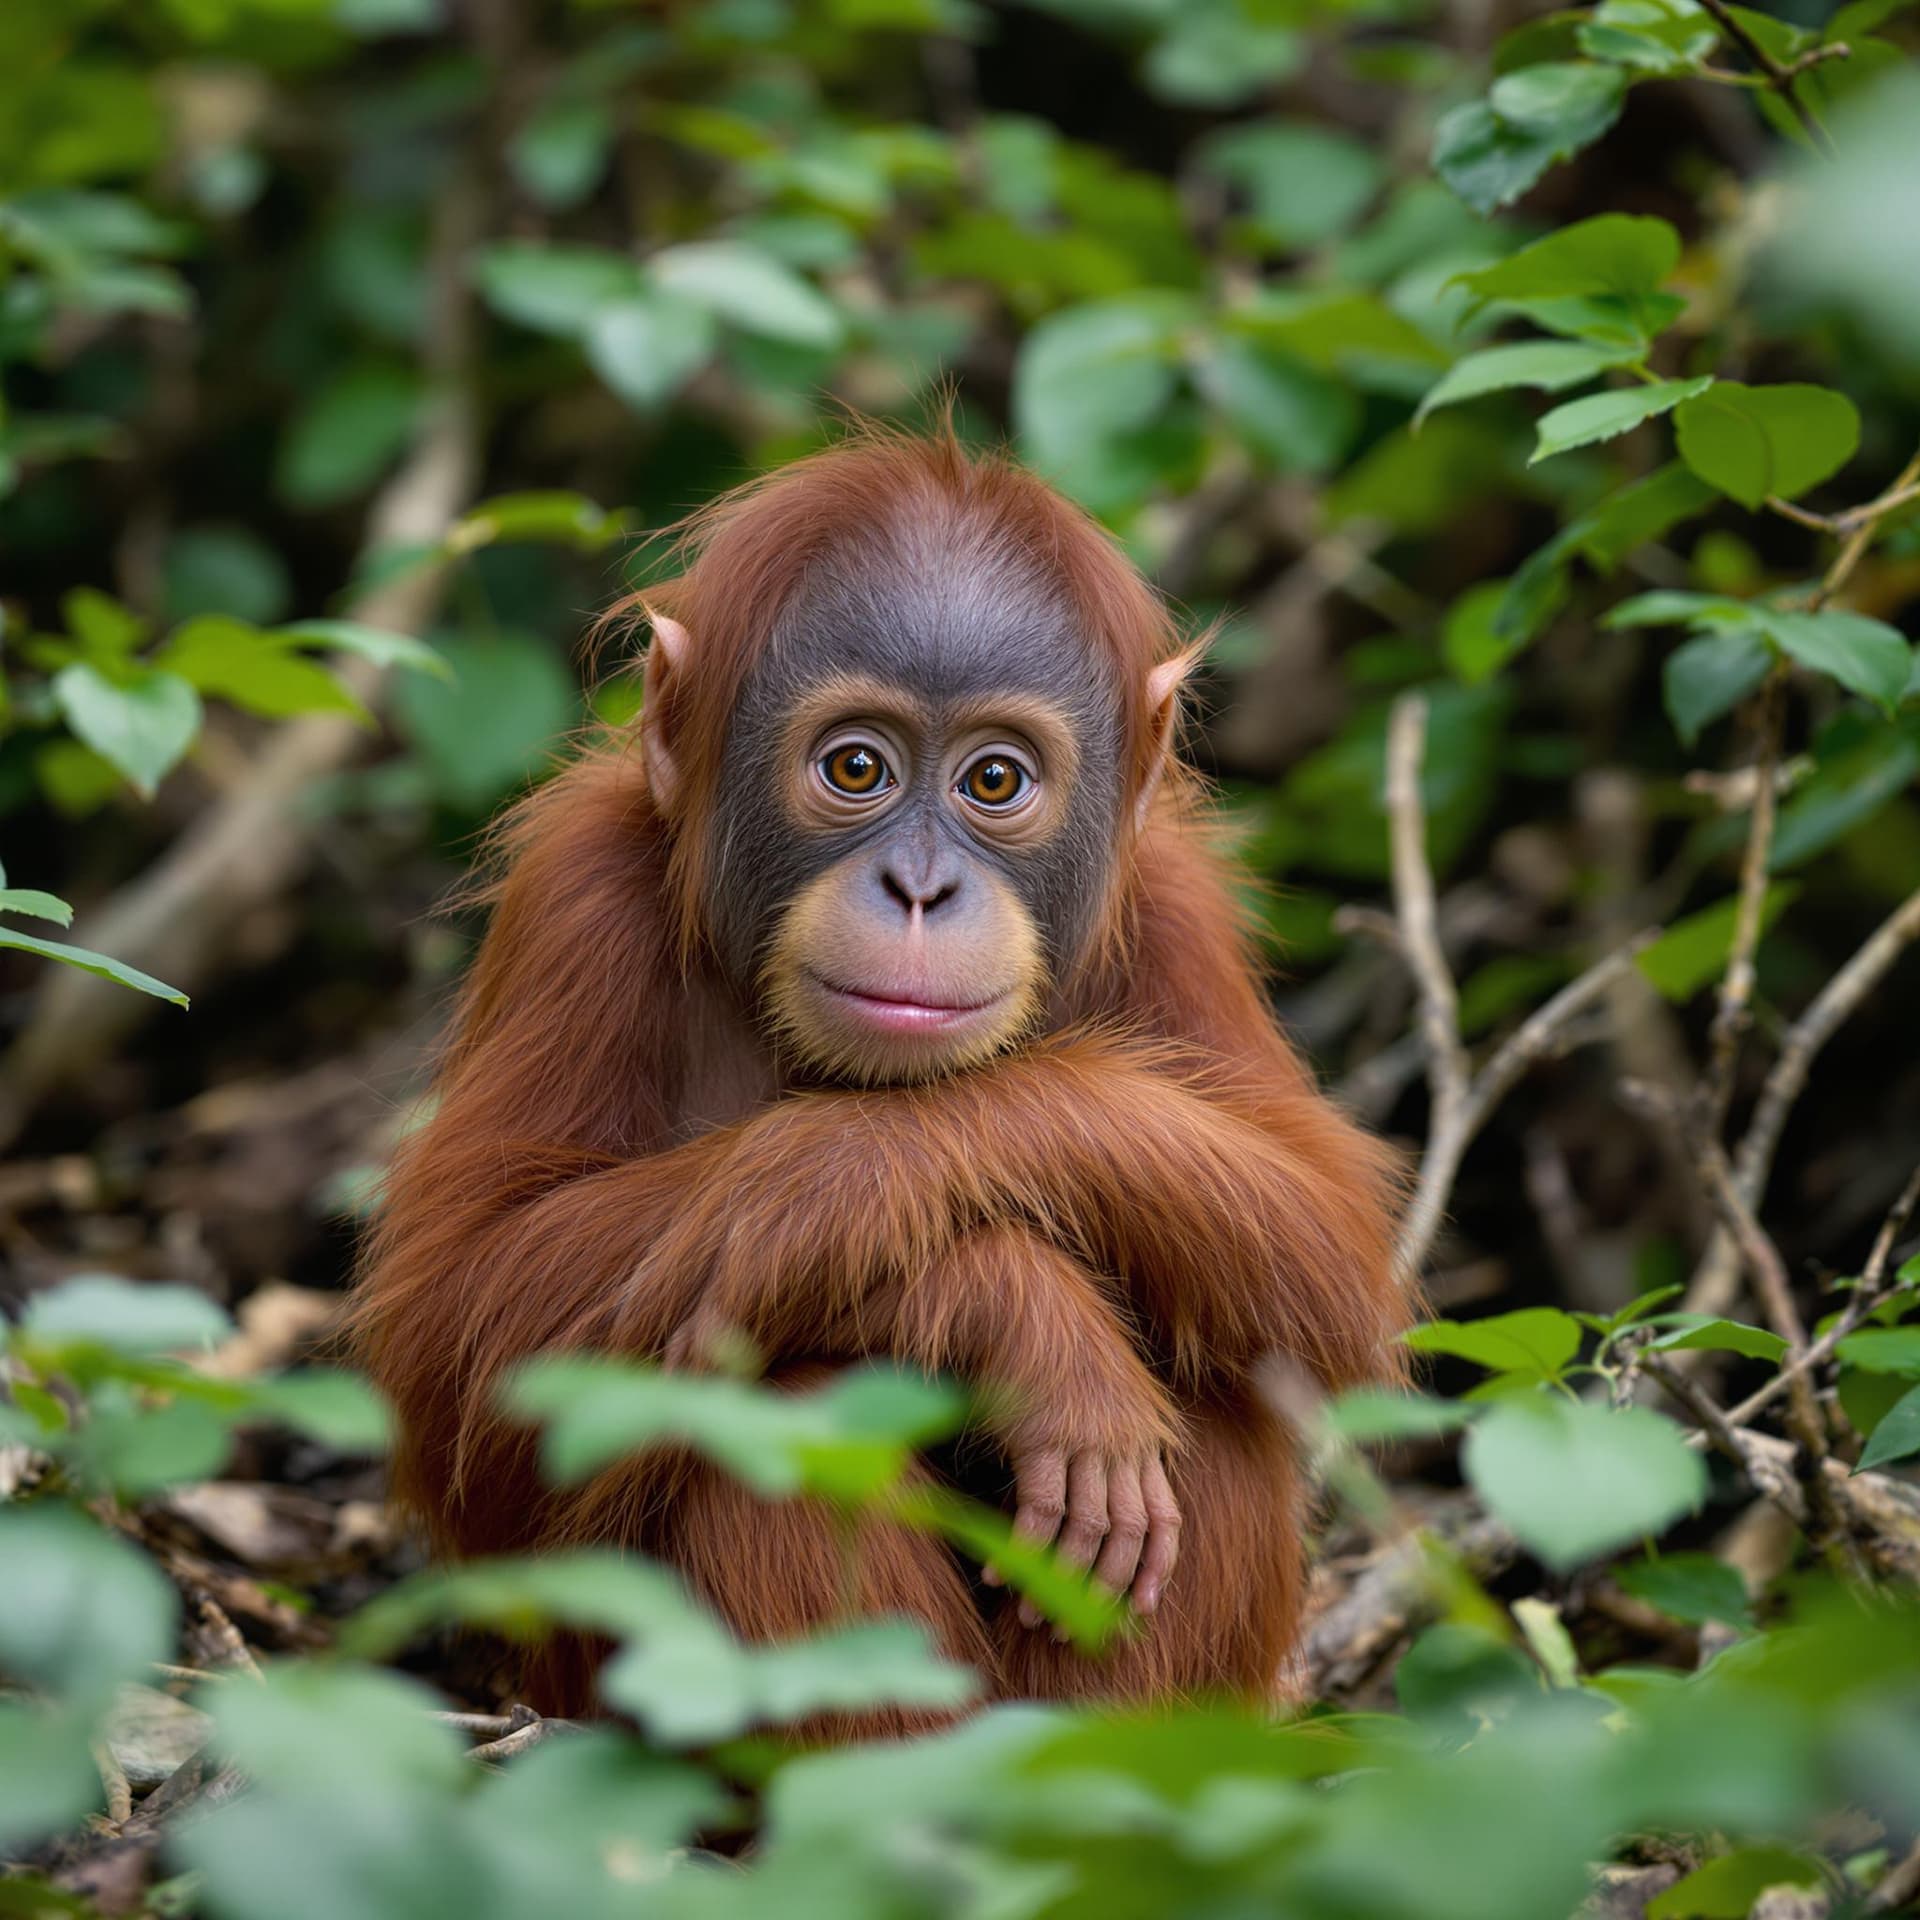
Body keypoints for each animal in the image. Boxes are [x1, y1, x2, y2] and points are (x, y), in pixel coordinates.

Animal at [352, 423, 1404, 1724]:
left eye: (994, 781)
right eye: (856, 768)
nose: (919, 889)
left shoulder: (1173, 916)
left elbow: (1325, 1239)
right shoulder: (579, 900)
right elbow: (464, 1323)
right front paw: (1020, 1314)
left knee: (1216, 1398)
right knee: (777, 1417)